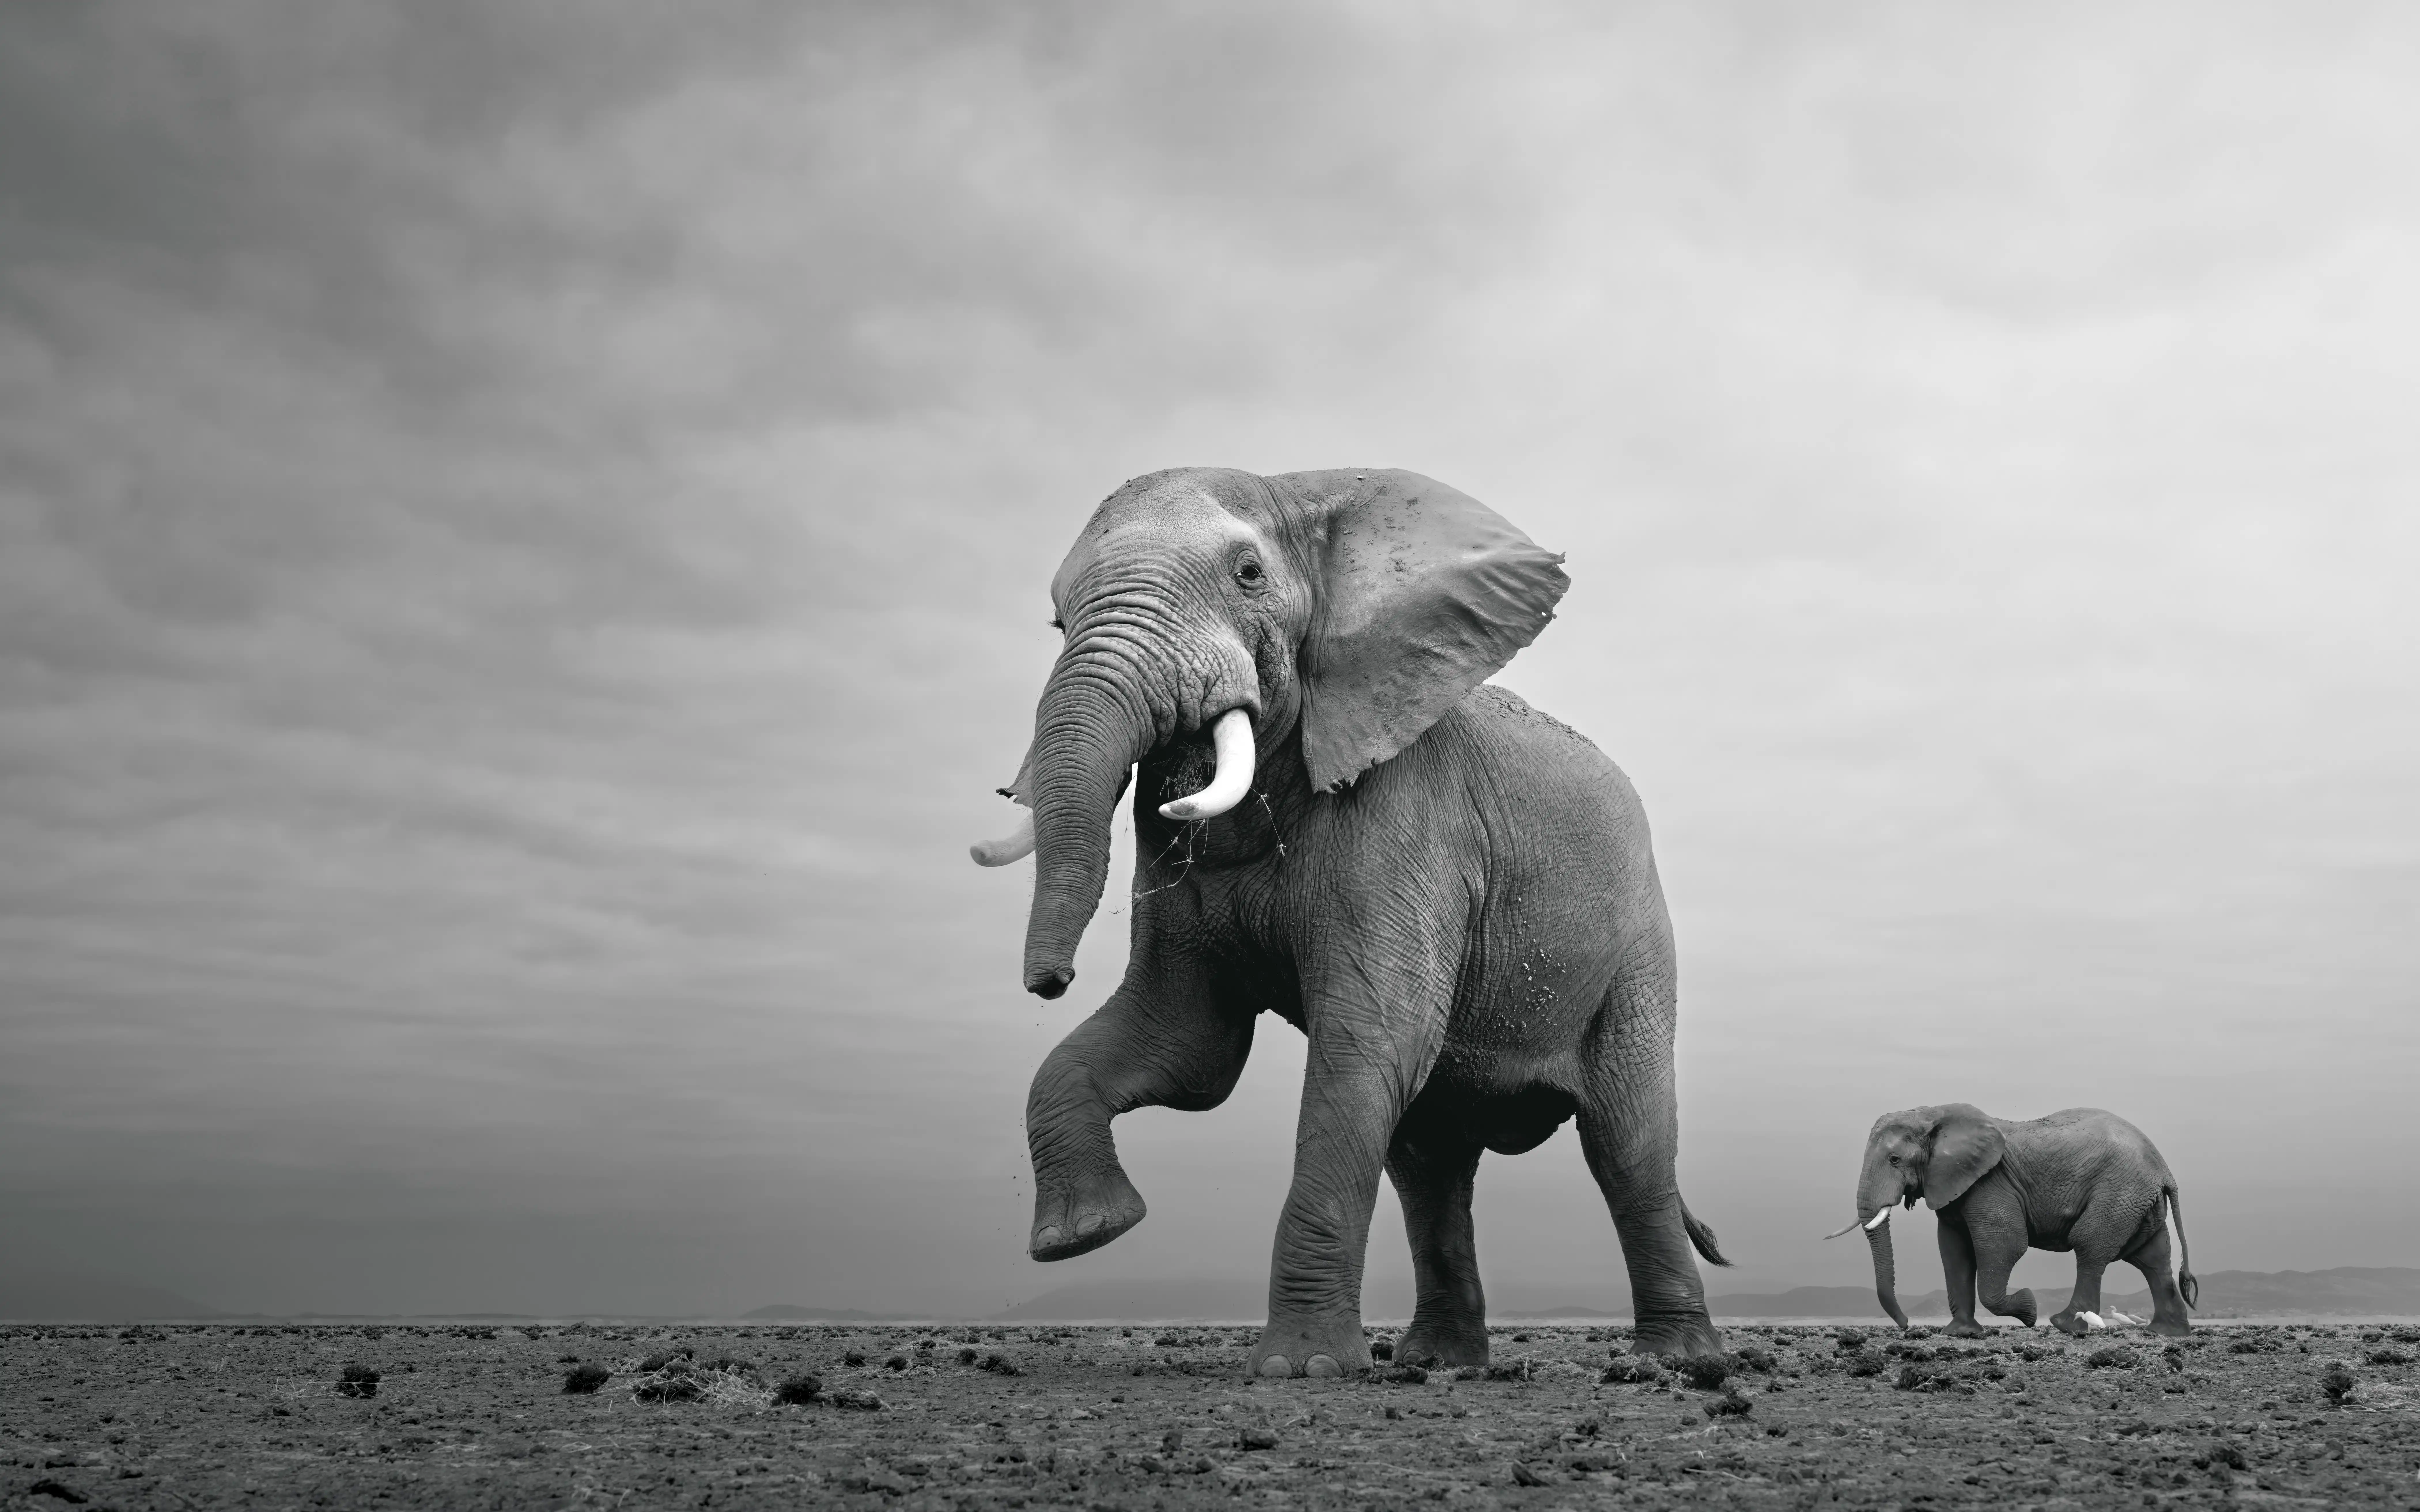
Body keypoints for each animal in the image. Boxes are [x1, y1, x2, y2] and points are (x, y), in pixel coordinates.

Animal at [967, 466, 1731, 1379]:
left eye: (1248, 576)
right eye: (1056, 620)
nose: (1051, 982)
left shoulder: (1408, 817)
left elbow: (1368, 1036)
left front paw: (1300, 1370)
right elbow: (1190, 1045)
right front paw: (1085, 1234)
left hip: (1638, 952)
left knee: (1628, 1145)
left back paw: (1680, 1362)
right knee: (1428, 1162)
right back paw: (1439, 1364)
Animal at [1831, 1104, 2199, 1338]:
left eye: (1895, 1159)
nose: (1906, 1325)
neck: (1931, 1115)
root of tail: (2164, 1169)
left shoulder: (1990, 1183)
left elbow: (2005, 1244)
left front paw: (2029, 1310)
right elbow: (1954, 1252)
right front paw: (1960, 1334)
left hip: (2119, 1191)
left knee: (2090, 1246)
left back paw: (2064, 1325)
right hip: (2138, 1200)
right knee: (2153, 1259)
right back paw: (2166, 1334)